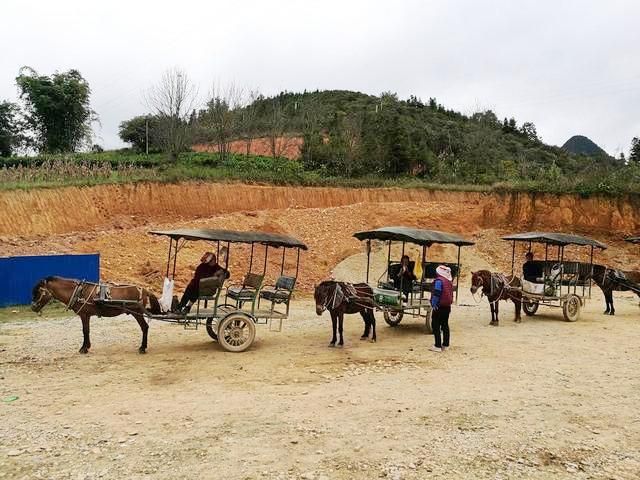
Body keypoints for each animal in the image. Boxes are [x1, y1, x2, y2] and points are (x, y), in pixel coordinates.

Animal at [32, 278, 162, 352]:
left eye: (39, 291)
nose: (33, 307)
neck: (78, 292)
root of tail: (145, 290)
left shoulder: (84, 315)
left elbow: (85, 330)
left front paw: (84, 348)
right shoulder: (86, 315)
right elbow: (86, 330)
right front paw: (87, 346)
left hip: (138, 313)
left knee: (145, 327)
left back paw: (142, 348)